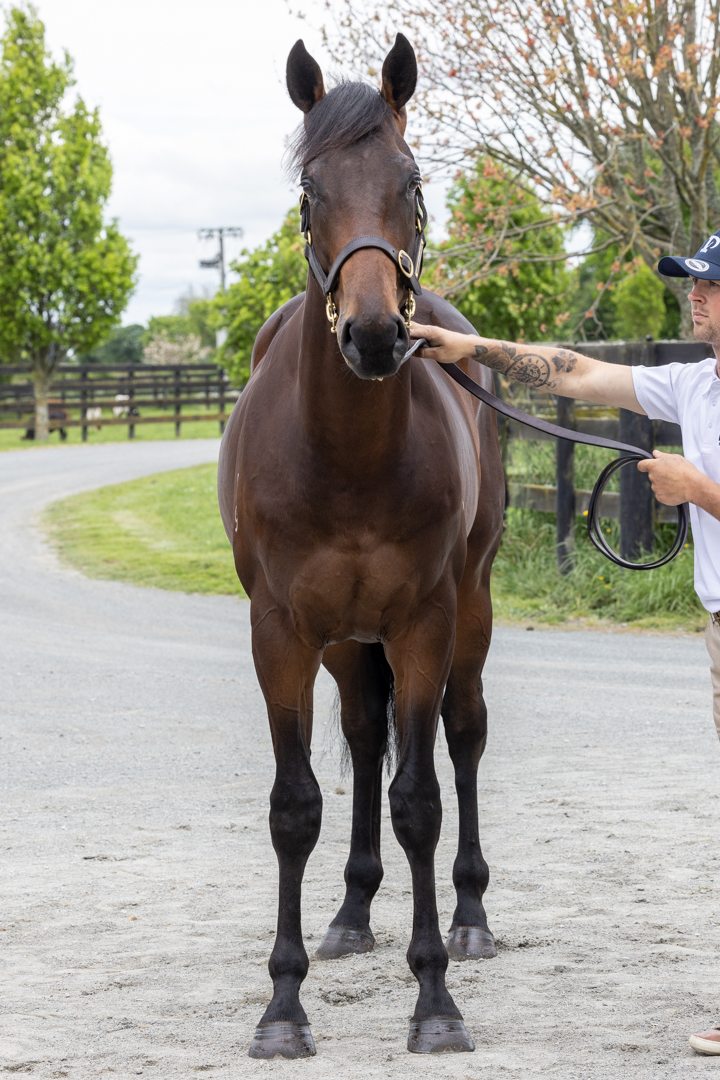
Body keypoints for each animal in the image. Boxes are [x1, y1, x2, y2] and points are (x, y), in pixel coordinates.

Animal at [217, 33, 505, 1058]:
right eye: (311, 192)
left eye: (411, 182)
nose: (378, 333)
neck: (343, 458)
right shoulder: (280, 634)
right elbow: (295, 806)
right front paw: (282, 1006)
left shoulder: (424, 623)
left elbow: (418, 798)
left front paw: (435, 999)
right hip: (346, 643)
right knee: (362, 729)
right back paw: (349, 914)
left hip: (471, 611)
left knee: (463, 735)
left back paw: (470, 918)